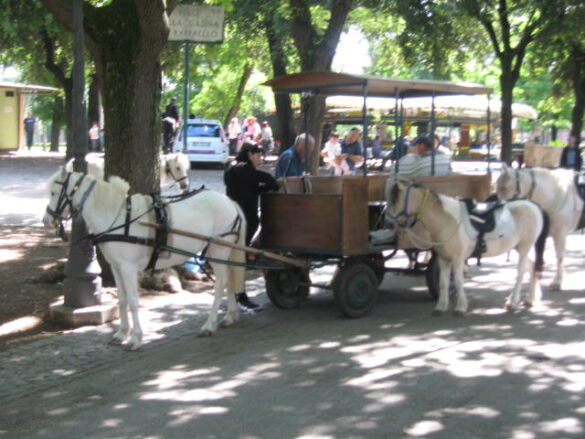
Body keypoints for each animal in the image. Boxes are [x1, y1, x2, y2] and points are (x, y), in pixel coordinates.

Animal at [42, 168, 246, 350]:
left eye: (53, 192)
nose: (46, 220)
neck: (118, 218)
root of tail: (230, 201)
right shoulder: (116, 266)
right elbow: (122, 300)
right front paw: (121, 333)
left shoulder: (128, 267)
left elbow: (133, 301)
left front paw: (135, 338)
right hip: (222, 254)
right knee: (230, 281)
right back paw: (230, 316)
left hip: (219, 251)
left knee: (220, 286)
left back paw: (209, 325)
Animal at [388, 180, 548, 314]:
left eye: (395, 199)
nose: (387, 220)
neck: (446, 220)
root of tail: (534, 206)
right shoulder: (443, 259)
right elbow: (443, 283)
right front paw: (441, 306)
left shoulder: (458, 259)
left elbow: (458, 281)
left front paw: (460, 307)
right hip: (519, 248)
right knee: (532, 267)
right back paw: (529, 299)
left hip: (525, 247)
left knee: (521, 272)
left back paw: (512, 303)